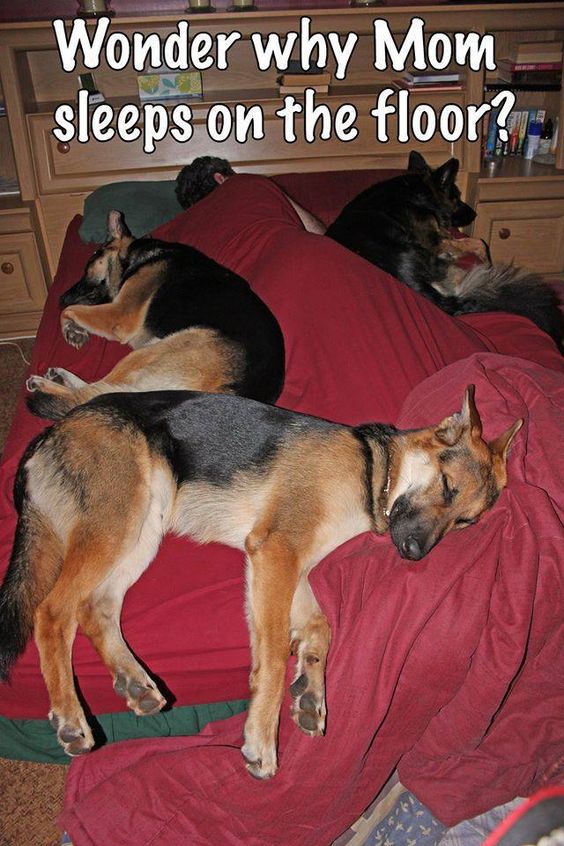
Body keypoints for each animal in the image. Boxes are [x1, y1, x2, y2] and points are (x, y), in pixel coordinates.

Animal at [0, 388, 520, 780]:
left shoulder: (289, 567)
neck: (374, 469)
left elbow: (320, 629)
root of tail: (51, 431)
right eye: (448, 486)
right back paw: (71, 717)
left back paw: (134, 682)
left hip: (144, 528)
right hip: (118, 523)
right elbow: (270, 659)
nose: (412, 553)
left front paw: (311, 691)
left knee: (95, 609)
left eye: (466, 523)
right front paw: (261, 739)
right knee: (53, 611)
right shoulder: (276, 553)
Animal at [24, 209, 284, 414]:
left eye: (89, 264)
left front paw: (71, 329)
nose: (59, 298)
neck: (136, 255)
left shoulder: (119, 314)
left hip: (155, 349)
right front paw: (75, 329)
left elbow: (70, 310)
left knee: (95, 393)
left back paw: (44, 384)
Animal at [326, 152, 564, 352]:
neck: (416, 189)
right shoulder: (435, 242)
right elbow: (478, 242)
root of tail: (415, 285)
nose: (474, 214)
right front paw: (485, 260)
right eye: (456, 196)